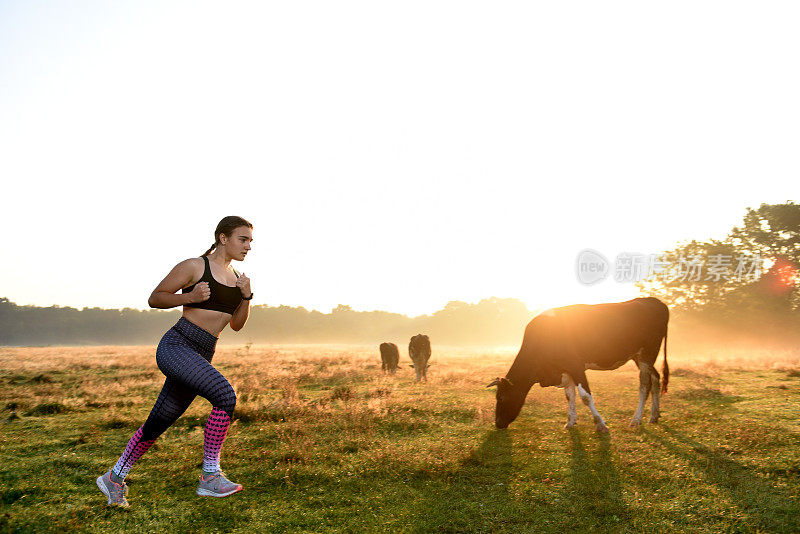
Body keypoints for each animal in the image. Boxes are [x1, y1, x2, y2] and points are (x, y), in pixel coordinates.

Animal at [488, 300, 668, 434]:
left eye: (501, 397)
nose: (497, 423)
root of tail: (655, 301)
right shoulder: (564, 370)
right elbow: (570, 395)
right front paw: (570, 421)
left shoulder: (576, 366)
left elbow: (585, 397)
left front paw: (600, 424)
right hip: (639, 356)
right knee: (656, 378)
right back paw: (654, 416)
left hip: (647, 353)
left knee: (645, 385)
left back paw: (636, 420)